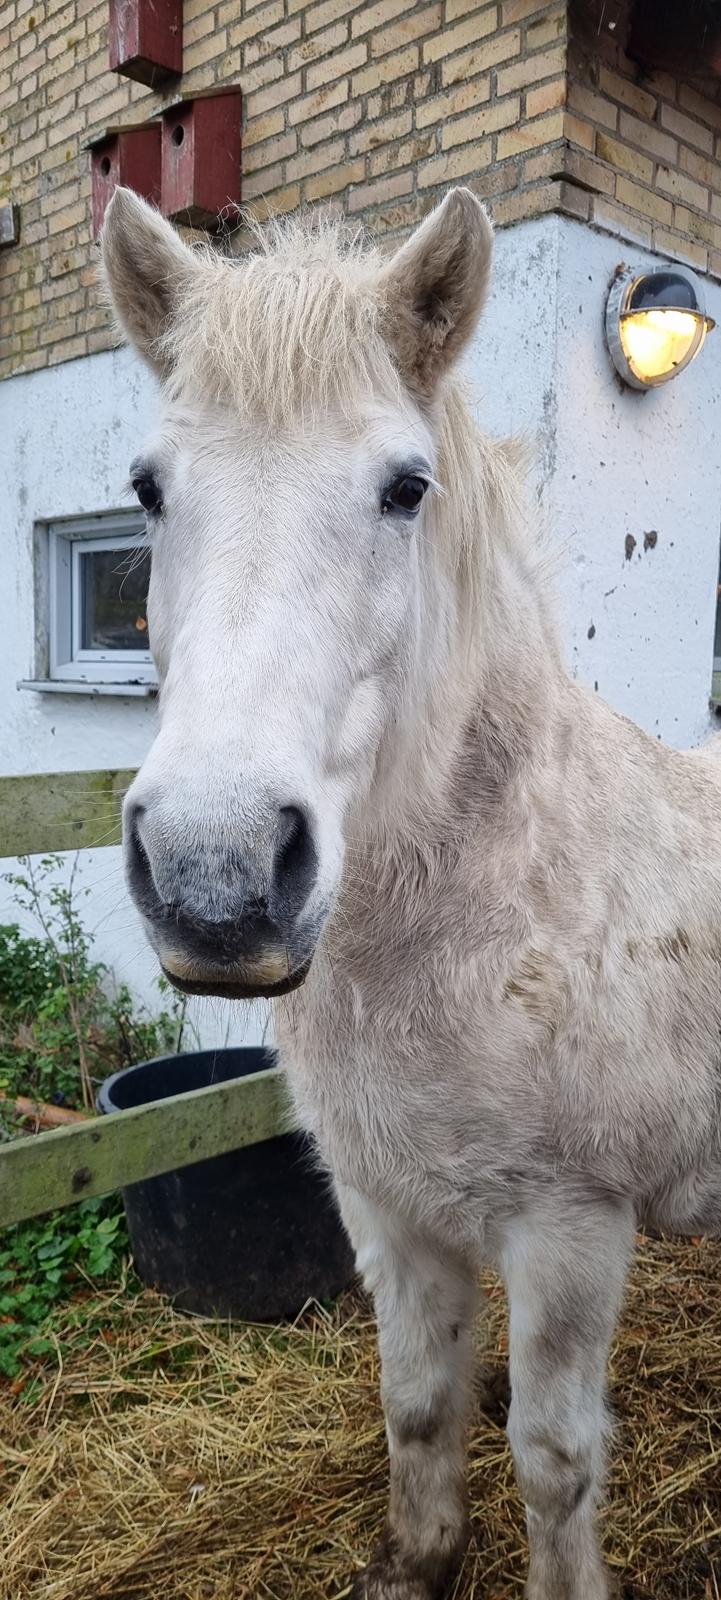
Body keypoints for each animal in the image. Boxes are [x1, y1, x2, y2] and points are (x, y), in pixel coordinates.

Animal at [100, 190, 721, 1600]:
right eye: (147, 490)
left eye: (403, 488)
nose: (216, 878)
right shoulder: (386, 1212)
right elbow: (418, 1406)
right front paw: (417, 1562)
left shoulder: (568, 1233)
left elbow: (552, 1457)